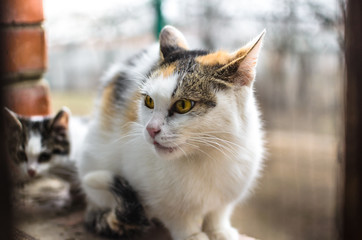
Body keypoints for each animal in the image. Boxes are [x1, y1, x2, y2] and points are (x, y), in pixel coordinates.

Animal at [78, 26, 266, 240]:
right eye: (149, 101)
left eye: (183, 105)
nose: (151, 129)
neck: (204, 155)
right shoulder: (153, 191)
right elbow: (176, 214)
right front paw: (191, 235)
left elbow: (218, 211)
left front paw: (220, 231)